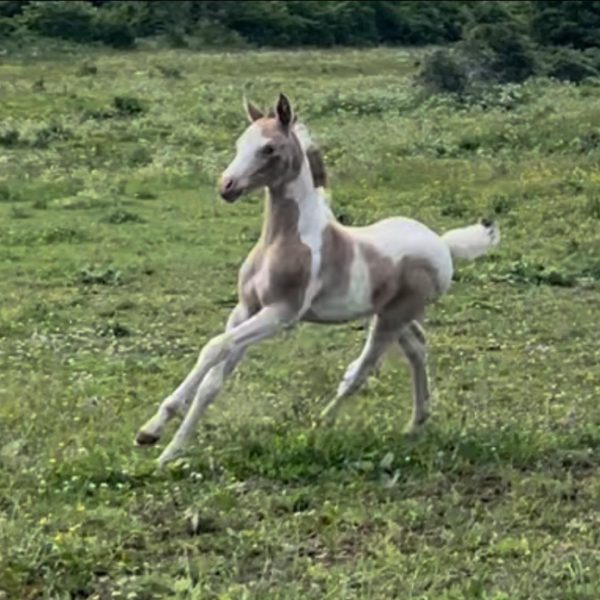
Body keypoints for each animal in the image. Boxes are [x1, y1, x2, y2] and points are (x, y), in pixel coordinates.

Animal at [138, 95, 500, 468]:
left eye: (269, 148)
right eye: (240, 143)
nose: (227, 186)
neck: (285, 239)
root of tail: (443, 244)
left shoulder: (281, 314)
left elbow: (215, 346)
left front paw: (154, 435)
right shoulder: (245, 309)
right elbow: (213, 381)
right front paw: (164, 446)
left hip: (392, 317)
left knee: (363, 369)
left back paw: (321, 422)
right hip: (392, 314)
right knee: (416, 347)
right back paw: (416, 423)